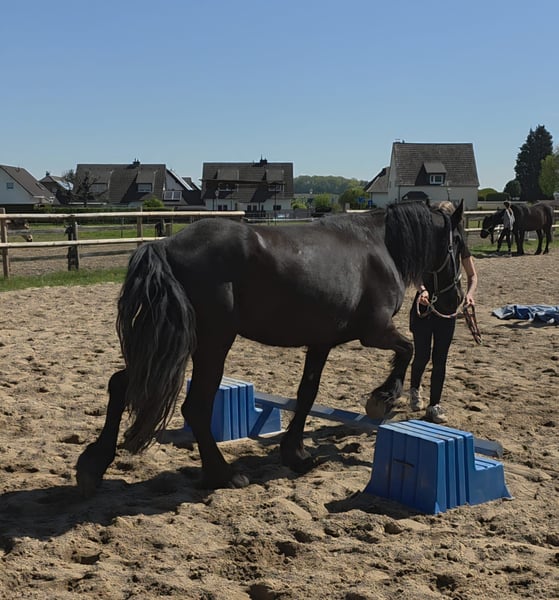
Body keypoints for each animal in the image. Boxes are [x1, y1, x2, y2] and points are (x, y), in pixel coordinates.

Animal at [76, 199, 466, 495]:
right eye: (458, 245)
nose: (456, 299)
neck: (378, 246)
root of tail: (166, 246)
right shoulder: (375, 332)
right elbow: (408, 350)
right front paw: (382, 399)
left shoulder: (321, 342)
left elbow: (307, 393)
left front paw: (296, 454)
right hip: (210, 346)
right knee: (195, 408)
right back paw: (223, 475)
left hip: (173, 346)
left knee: (122, 384)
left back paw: (93, 465)